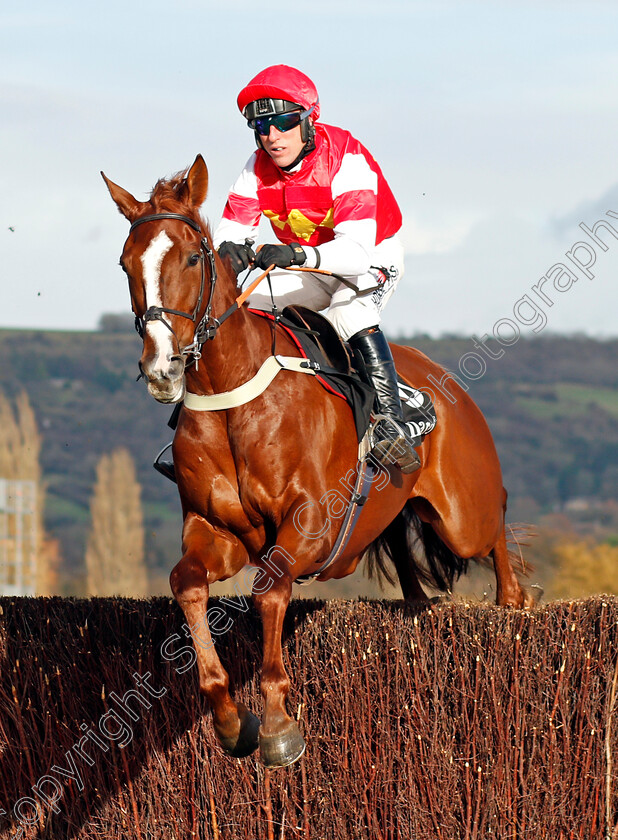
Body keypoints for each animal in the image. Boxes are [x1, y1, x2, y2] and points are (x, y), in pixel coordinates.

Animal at [100, 154, 528, 772]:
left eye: (191, 256)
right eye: (126, 261)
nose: (163, 368)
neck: (232, 394)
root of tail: (443, 382)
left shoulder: (309, 524)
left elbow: (270, 590)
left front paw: (279, 723)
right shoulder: (218, 532)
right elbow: (187, 584)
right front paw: (230, 720)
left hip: (463, 514)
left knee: (495, 534)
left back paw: (512, 611)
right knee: (412, 574)